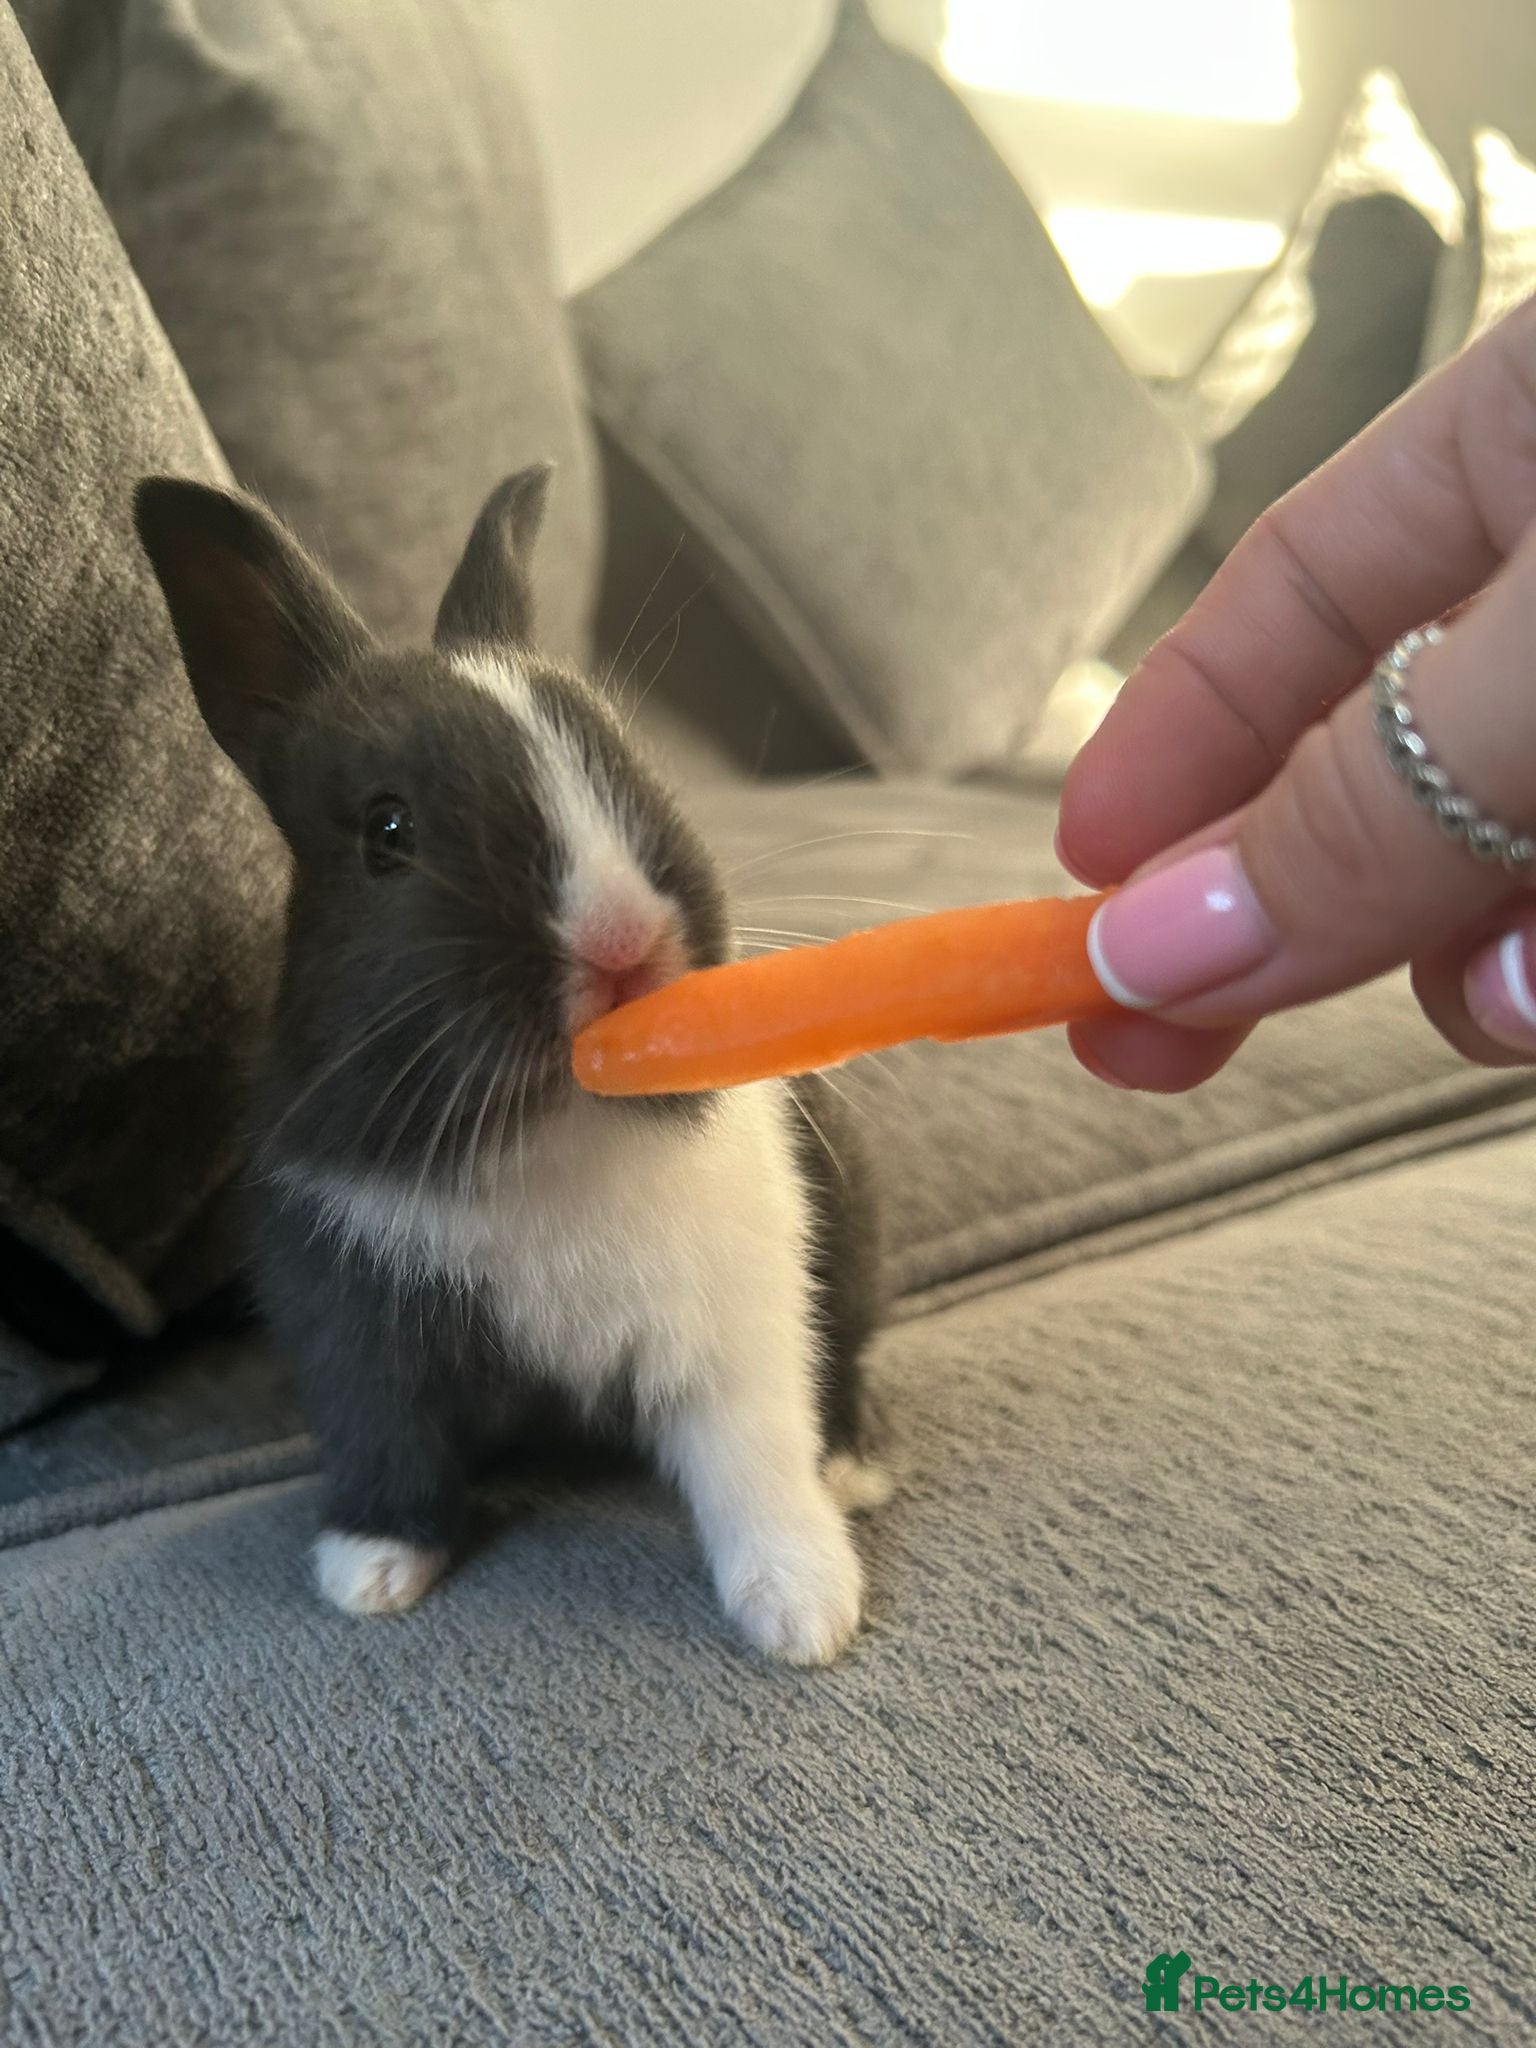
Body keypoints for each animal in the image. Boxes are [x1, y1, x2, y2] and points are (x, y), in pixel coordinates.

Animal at [135, 466, 887, 1665]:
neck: (553, 1119)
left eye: (627, 757)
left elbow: (754, 1465)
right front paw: (369, 1574)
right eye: (387, 832)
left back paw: (853, 1471)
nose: (624, 943)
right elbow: (387, 1442)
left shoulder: (739, 1331)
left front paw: (804, 1616)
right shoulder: (356, 1334)